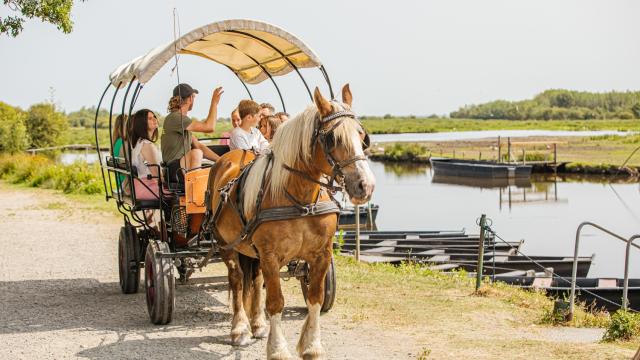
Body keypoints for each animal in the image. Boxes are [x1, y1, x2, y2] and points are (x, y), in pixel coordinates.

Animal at [205, 83, 376, 358]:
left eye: (362, 136)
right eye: (332, 138)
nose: (365, 186)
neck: (301, 200)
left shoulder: (321, 254)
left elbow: (315, 298)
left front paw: (312, 346)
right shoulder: (271, 255)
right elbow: (276, 302)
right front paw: (277, 349)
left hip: (252, 251)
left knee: (255, 279)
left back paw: (257, 324)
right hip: (226, 244)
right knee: (237, 279)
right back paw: (240, 329)